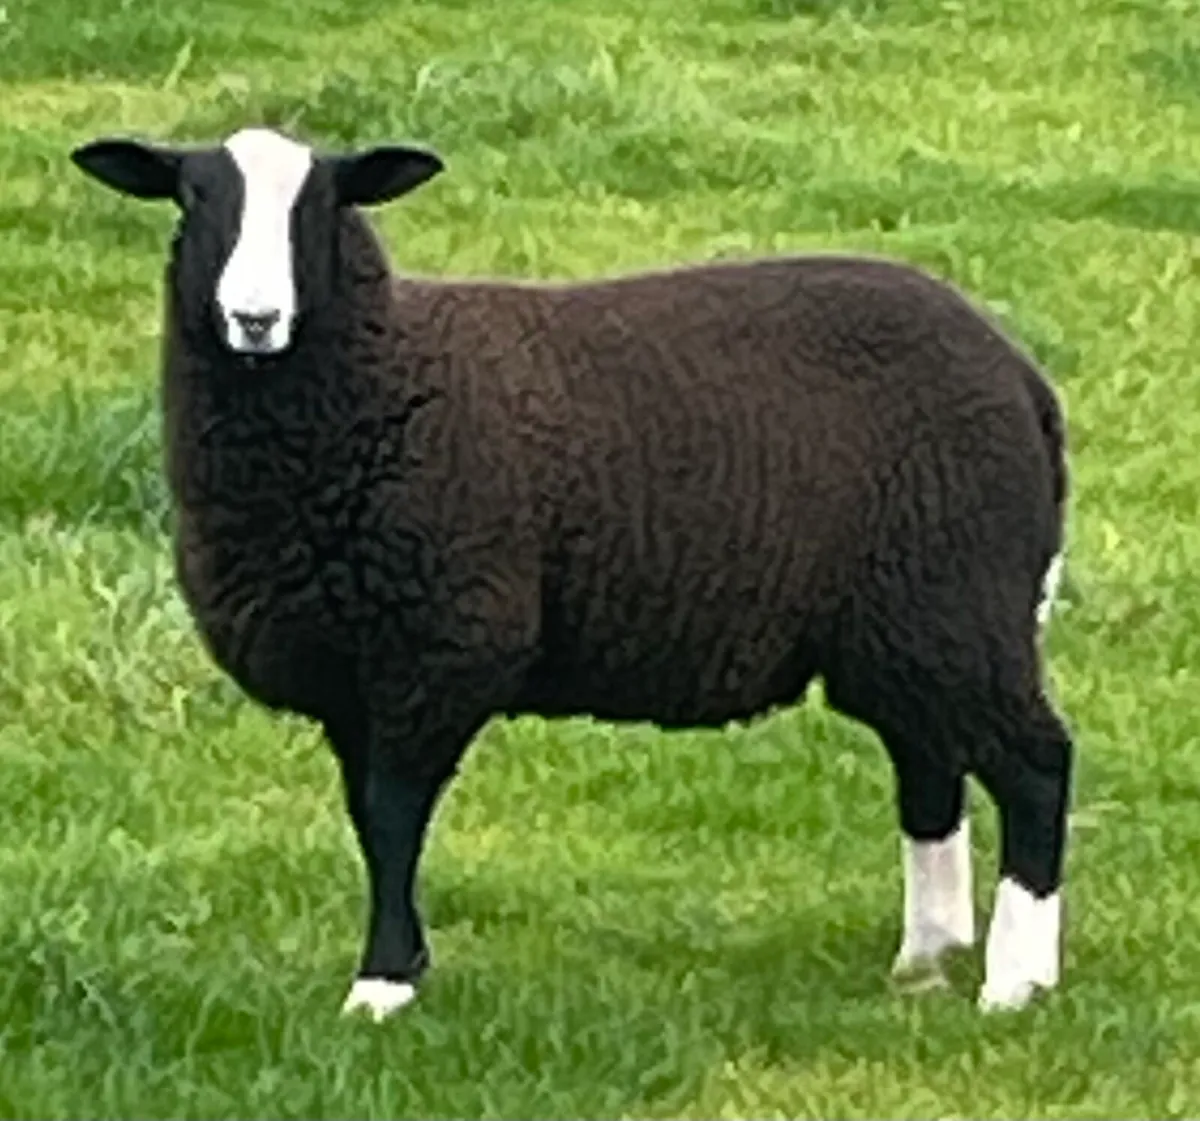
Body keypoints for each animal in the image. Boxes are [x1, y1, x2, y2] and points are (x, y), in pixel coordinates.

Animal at [69, 124, 1074, 1023]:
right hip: (903, 624)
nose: (255, 319)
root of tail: (1024, 380)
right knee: (930, 765)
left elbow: (393, 817)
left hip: (958, 603)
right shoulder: (353, 675)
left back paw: (1015, 980)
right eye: (193, 199)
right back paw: (927, 955)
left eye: (320, 208)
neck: (384, 377)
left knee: (1037, 763)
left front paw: (382, 985)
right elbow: (366, 821)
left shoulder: (440, 644)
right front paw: (404, 965)